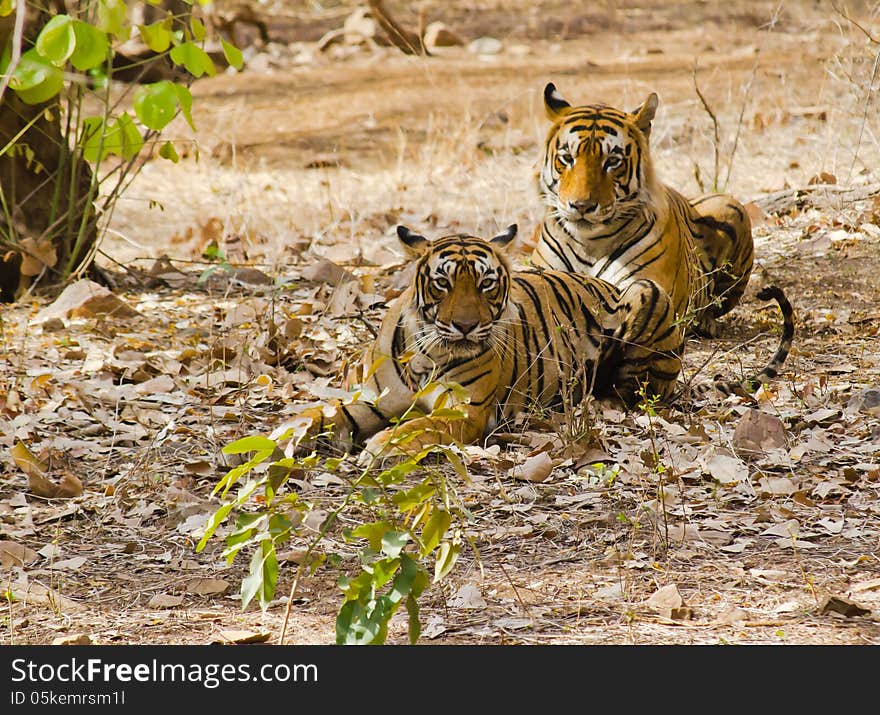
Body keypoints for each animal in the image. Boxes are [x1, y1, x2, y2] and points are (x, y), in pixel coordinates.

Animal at [300, 225, 796, 458]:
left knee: (637, 391)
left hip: (646, 293)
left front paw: (382, 445)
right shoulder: (374, 398)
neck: (430, 349)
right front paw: (289, 437)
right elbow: (318, 416)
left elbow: (420, 426)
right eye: (443, 283)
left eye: (485, 284)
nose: (464, 327)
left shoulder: (467, 412)